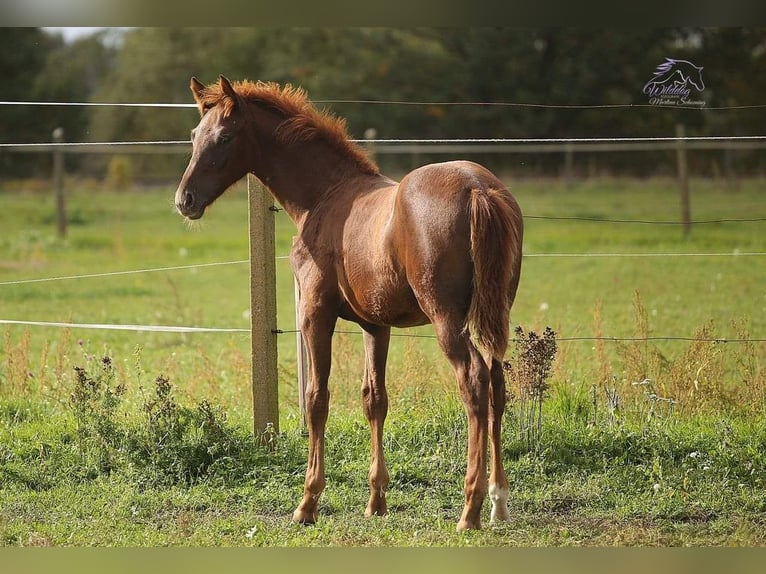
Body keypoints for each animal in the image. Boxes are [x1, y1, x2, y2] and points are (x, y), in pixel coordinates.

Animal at [175, 76, 523, 531]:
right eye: (194, 135)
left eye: (226, 137)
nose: (185, 200)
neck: (325, 197)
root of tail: (478, 188)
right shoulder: (376, 324)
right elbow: (374, 399)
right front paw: (376, 500)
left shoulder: (314, 315)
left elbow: (316, 398)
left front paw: (307, 502)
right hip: (494, 313)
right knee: (497, 383)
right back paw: (499, 500)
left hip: (448, 319)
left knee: (475, 382)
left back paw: (470, 508)